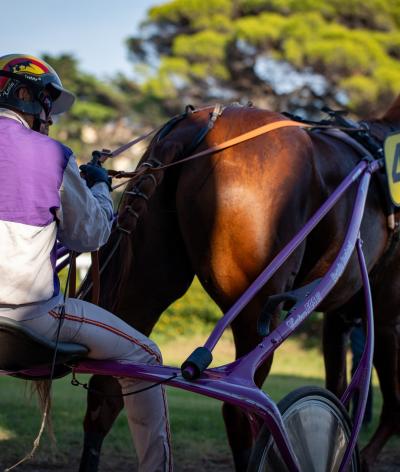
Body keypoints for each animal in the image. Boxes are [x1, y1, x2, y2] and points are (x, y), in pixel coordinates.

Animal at [77, 97, 400, 470]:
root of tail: (196, 126)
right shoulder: (386, 314)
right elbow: (389, 404)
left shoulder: (340, 317)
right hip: (256, 309)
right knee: (241, 412)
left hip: (148, 283)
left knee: (106, 394)